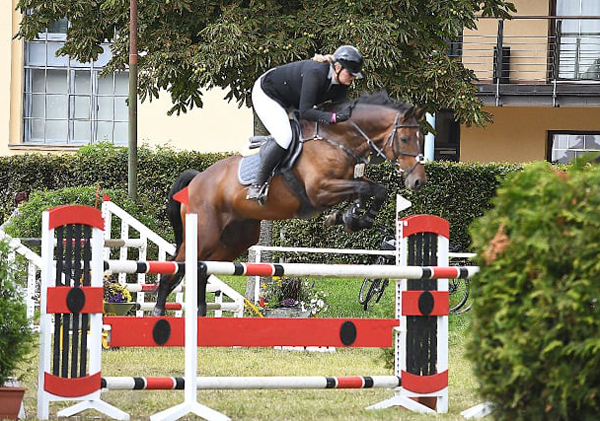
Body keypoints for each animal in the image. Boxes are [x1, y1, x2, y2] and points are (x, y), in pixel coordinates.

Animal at [155, 92, 426, 316]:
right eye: (404, 139)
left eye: (422, 138)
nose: (418, 181)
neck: (337, 140)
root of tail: (197, 179)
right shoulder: (320, 190)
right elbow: (365, 188)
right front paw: (350, 218)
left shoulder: (346, 181)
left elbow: (375, 189)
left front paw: (352, 218)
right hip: (204, 234)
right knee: (178, 267)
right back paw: (158, 311)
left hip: (234, 240)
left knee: (202, 271)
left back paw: (199, 315)